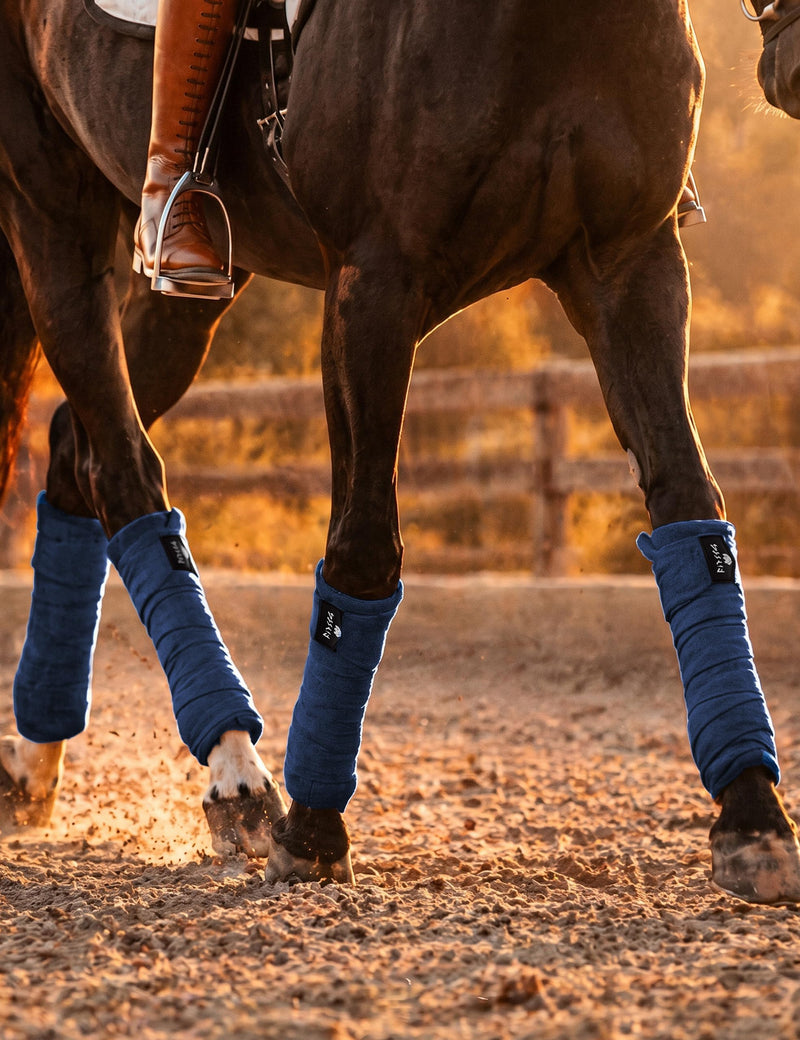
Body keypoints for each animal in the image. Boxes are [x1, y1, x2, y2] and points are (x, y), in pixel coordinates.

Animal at [1, 0, 799, 902]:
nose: (790, 68)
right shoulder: (375, 285)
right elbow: (363, 547)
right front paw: (314, 829)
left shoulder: (631, 264)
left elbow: (689, 504)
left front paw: (754, 819)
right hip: (50, 214)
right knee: (124, 468)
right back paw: (237, 778)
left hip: (195, 291)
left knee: (81, 454)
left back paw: (40, 765)